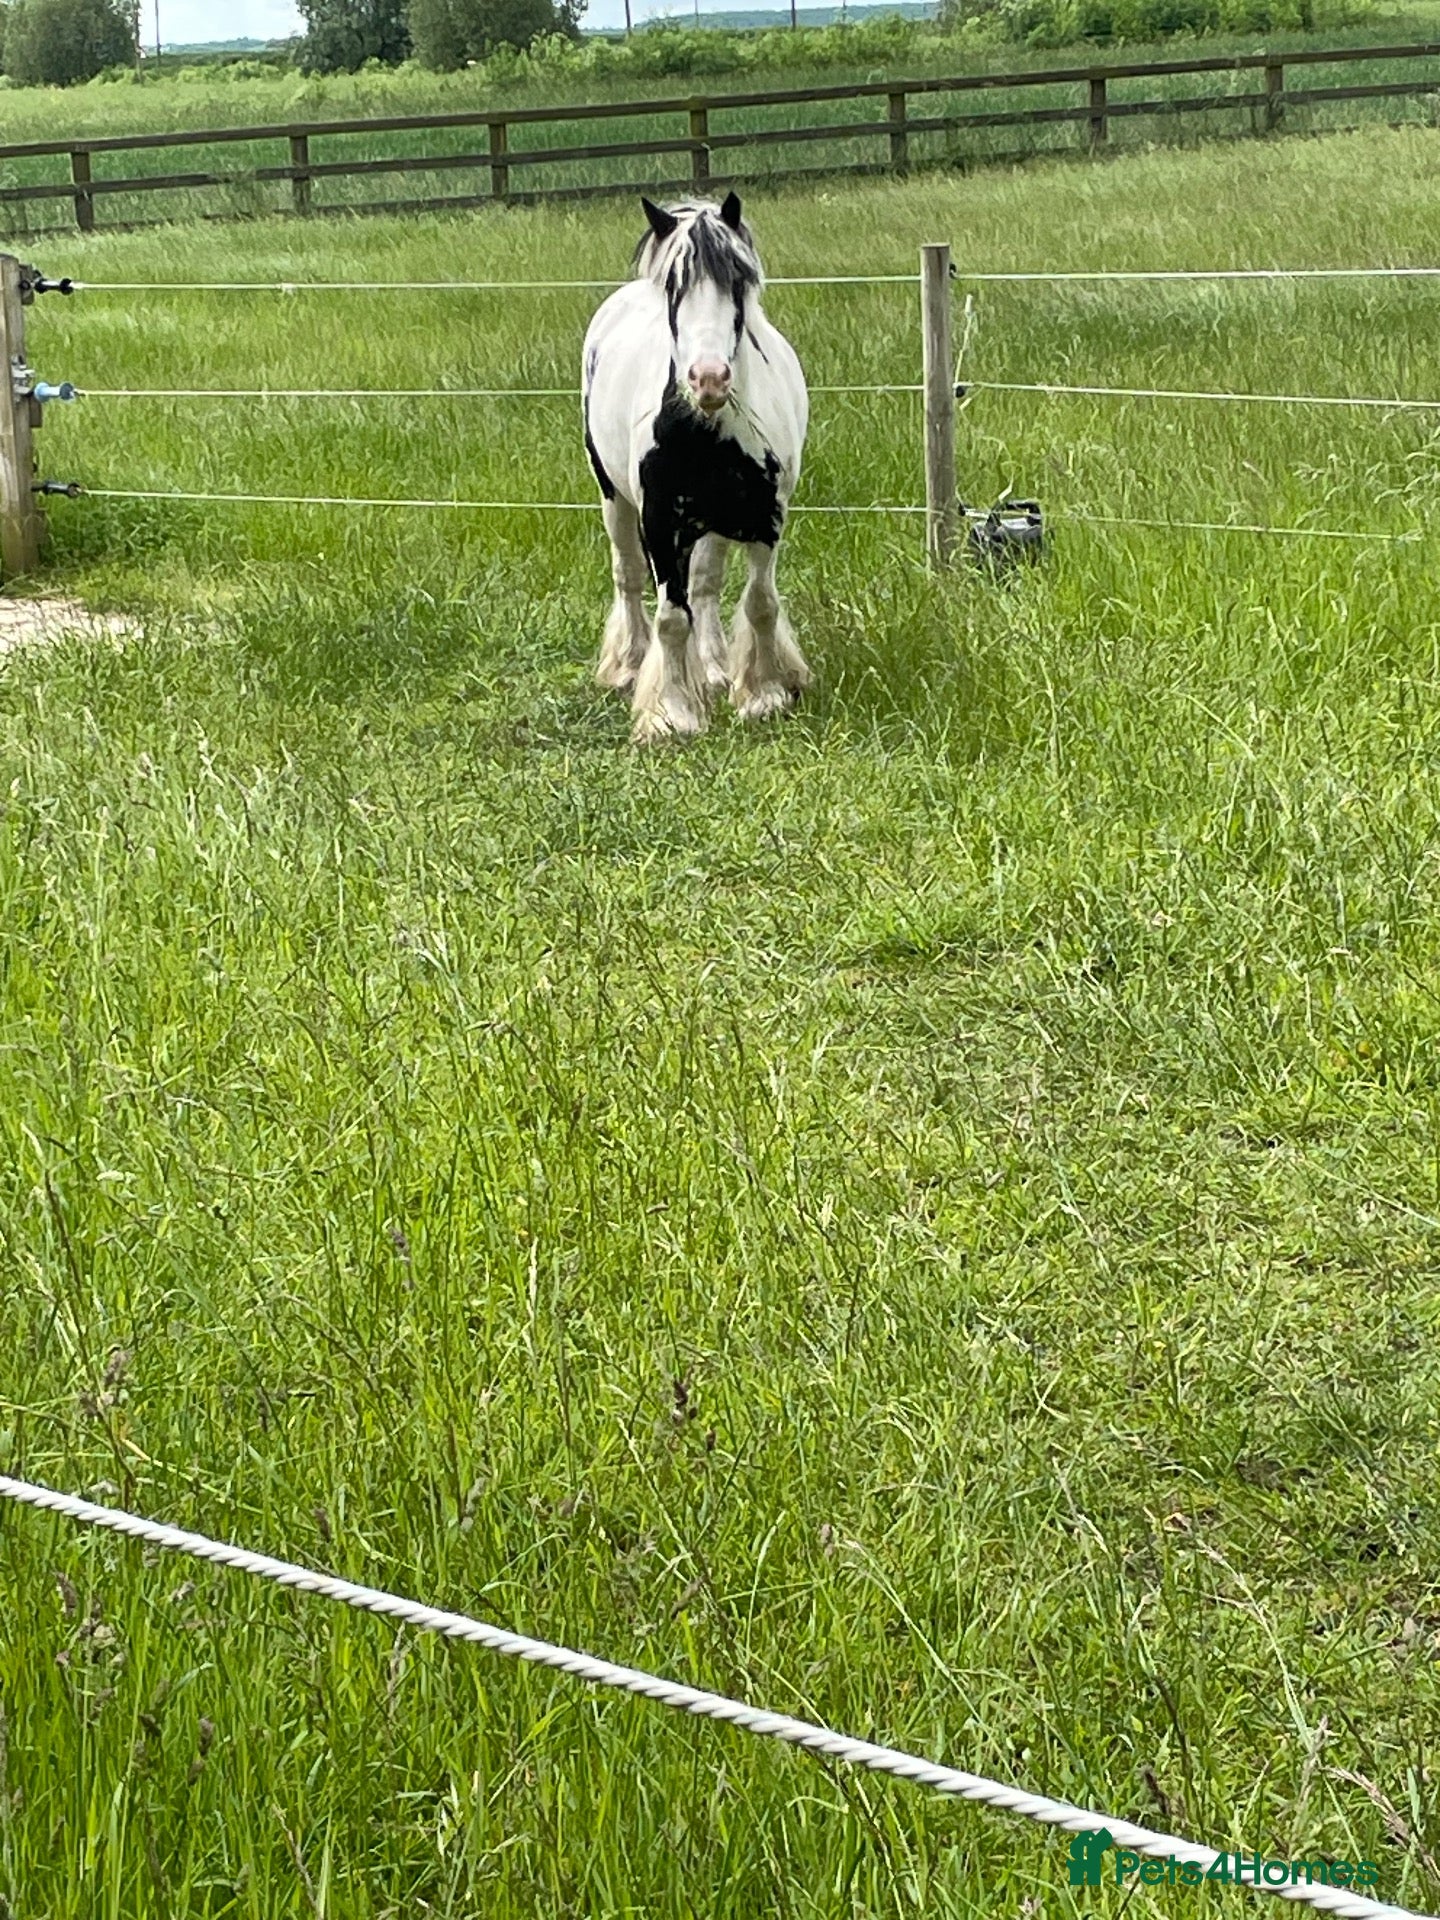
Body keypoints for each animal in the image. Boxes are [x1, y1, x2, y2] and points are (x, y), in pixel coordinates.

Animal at [581, 192, 811, 745]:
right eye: (673, 286)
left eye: (738, 279)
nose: (708, 378)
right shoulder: (661, 524)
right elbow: (670, 616)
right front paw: (672, 713)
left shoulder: (764, 521)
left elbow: (759, 604)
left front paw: (763, 694)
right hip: (613, 500)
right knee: (629, 576)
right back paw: (628, 665)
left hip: (713, 524)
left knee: (705, 587)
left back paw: (711, 669)